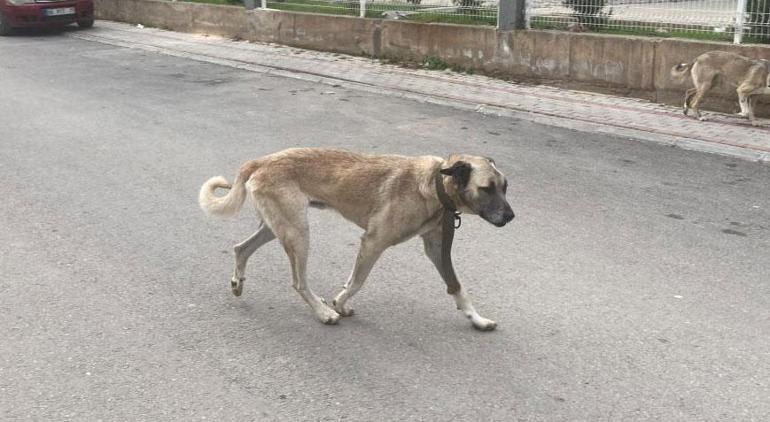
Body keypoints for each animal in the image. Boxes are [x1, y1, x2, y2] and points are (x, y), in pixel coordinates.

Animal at [198, 148, 512, 330]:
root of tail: (261, 160)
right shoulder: (373, 241)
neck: (434, 183)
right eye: (487, 188)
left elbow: (457, 287)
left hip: (278, 228)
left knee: (241, 249)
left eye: (505, 187)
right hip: (298, 233)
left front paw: (477, 318)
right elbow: (357, 281)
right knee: (298, 281)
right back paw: (323, 312)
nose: (511, 217)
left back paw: (239, 282)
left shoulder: (437, 248)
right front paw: (338, 303)